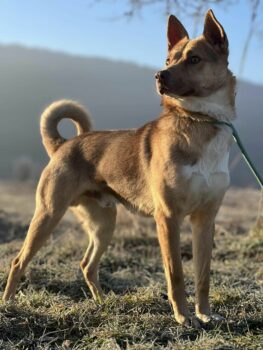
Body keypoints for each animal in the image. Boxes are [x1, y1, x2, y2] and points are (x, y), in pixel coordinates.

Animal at [3, 10, 236, 328]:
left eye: (194, 59)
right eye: (168, 60)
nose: (158, 75)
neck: (201, 121)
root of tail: (63, 145)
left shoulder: (205, 220)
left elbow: (203, 276)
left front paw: (205, 314)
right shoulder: (168, 217)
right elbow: (175, 274)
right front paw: (183, 317)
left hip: (104, 223)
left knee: (87, 265)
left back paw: (102, 303)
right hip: (48, 215)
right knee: (18, 261)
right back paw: (8, 304)